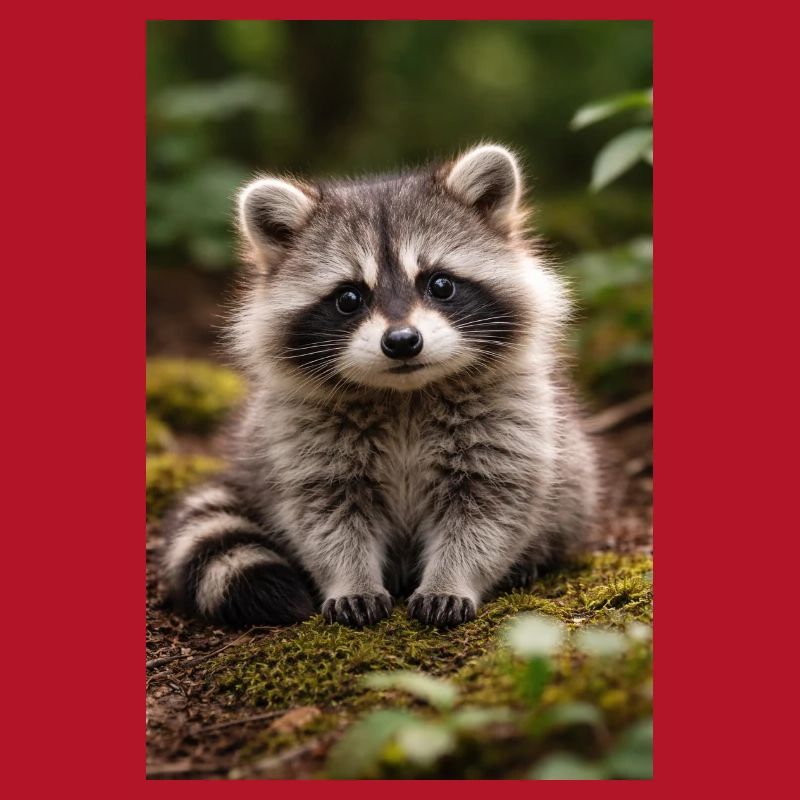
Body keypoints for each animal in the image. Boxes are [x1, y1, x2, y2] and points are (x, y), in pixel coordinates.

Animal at [161, 144, 599, 629]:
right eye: (349, 298)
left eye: (440, 284)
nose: (403, 341)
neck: (405, 393)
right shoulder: (303, 435)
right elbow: (325, 517)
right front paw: (351, 580)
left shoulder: (510, 417)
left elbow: (489, 512)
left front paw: (452, 578)